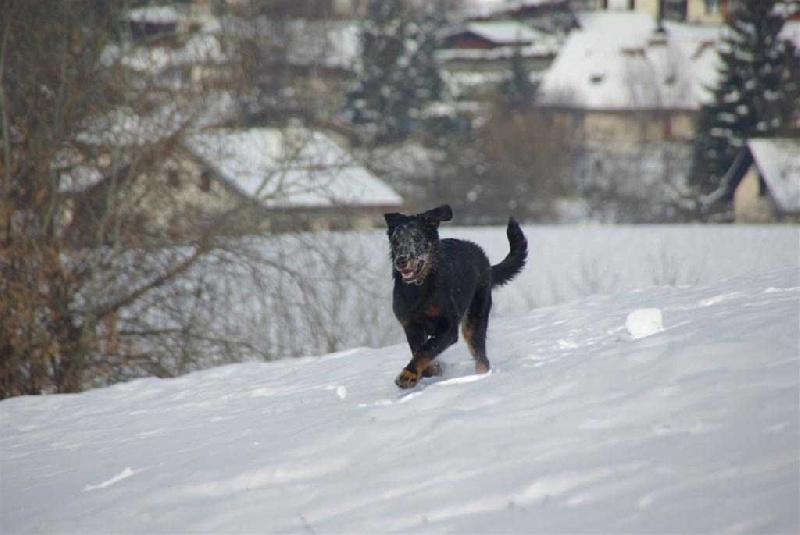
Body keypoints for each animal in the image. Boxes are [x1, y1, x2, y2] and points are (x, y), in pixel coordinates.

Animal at [384, 205, 528, 390]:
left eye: (416, 238)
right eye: (395, 241)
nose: (401, 260)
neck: (420, 287)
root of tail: (485, 262)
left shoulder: (448, 327)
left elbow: (426, 349)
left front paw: (408, 375)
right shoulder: (410, 326)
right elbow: (419, 351)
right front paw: (431, 370)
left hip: (475, 320)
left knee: (481, 358)